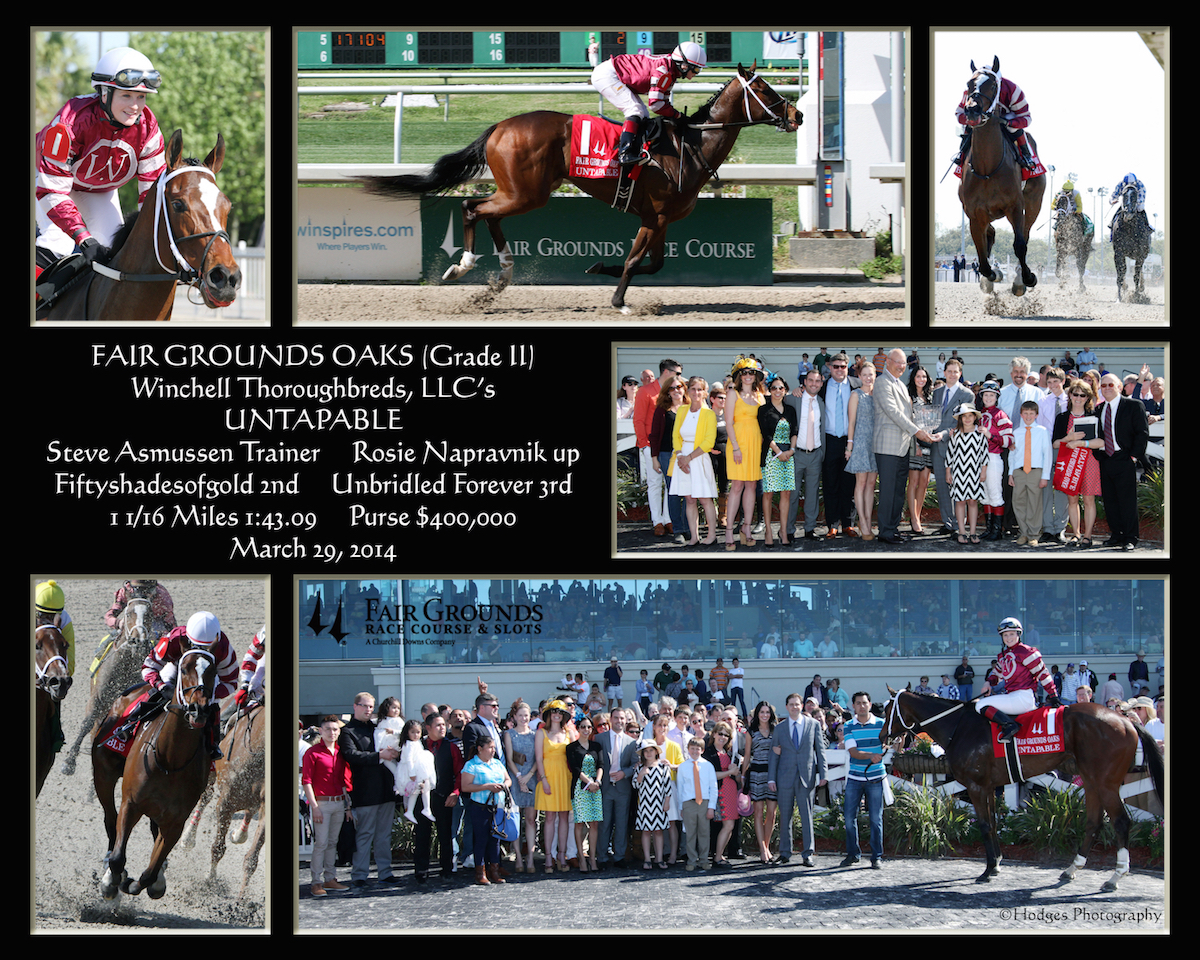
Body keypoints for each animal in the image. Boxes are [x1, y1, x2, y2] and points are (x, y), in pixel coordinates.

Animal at [61, 595, 160, 777]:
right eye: (128, 613)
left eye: (149, 614)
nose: (138, 641)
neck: (125, 665)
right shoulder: (98, 698)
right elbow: (87, 723)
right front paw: (69, 762)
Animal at [181, 696, 264, 892]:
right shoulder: (226, 802)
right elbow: (218, 848)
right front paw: (210, 880)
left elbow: (251, 859)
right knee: (205, 797)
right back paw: (188, 837)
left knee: (250, 808)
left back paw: (240, 834)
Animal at [360, 64, 801, 319]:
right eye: (765, 89)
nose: (796, 114)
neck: (690, 148)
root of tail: (501, 126)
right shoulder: (656, 216)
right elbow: (635, 261)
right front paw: (619, 301)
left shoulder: (658, 219)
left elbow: (653, 263)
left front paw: (600, 269)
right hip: (527, 193)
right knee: (472, 206)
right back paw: (464, 266)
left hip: (523, 191)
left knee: (489, 214)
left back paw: (501, 277)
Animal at [883, 686, 1161, 888]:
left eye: (887, 710)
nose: (882, 737)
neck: (959, 725)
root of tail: (1126, 721)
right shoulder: (989, 786)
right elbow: (994, 822)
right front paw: (996, 864)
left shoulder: (975, 786)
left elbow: (984, 825)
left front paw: (987, 870)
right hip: (1092, 781)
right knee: (1093, 822)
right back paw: (1072, 869)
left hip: (1106, 783)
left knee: (1121, 822)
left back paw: (1116, 876)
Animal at [955, 57, 1041, 296]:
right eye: (969, 84)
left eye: (993, 85)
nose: (972, 109)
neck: (987, 168)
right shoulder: (974, 213)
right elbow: (982, 254)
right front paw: (991, 276)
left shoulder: (1015, 206)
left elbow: (1020, 244)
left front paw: (1026, 279)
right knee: (990, 233)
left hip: (1034, 202)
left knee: (1026, 234)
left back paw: (1020, 278)